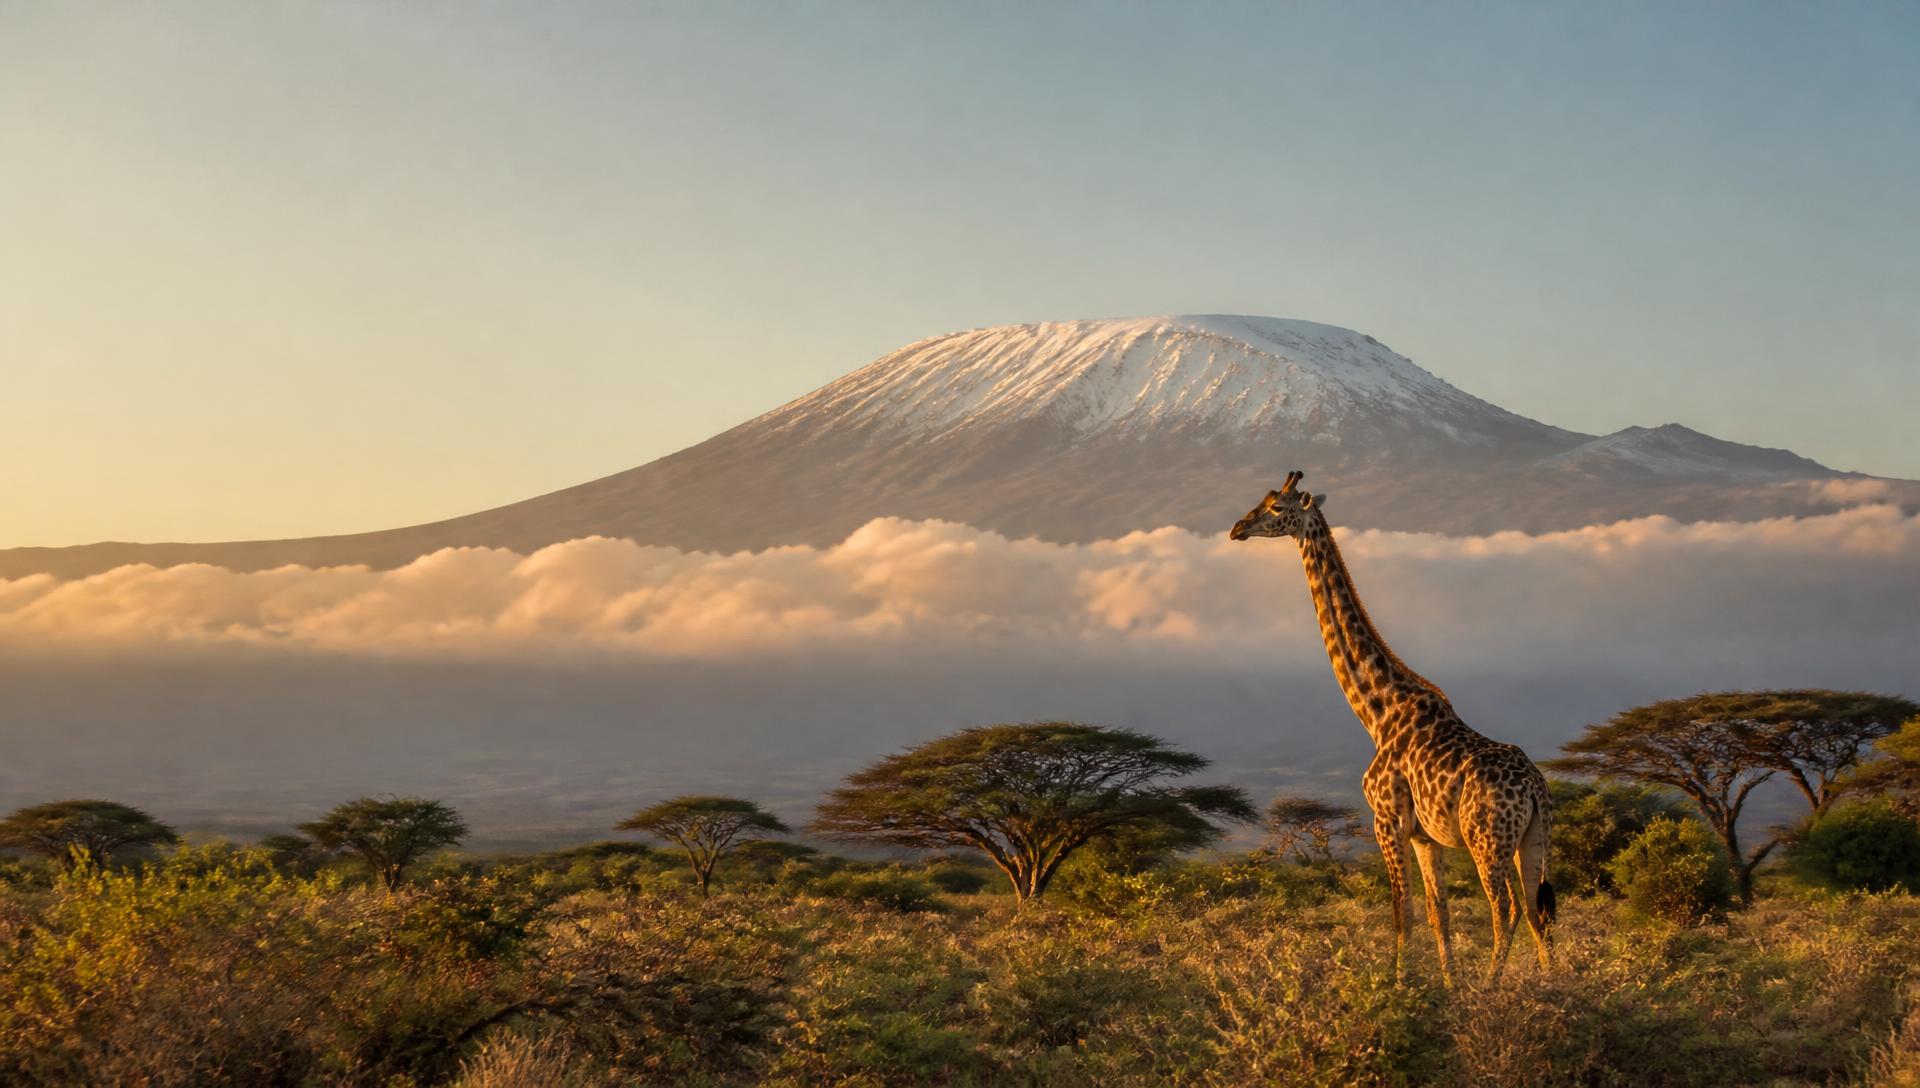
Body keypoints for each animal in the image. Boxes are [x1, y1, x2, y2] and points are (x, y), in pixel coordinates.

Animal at [1229, 470, 1554, 984]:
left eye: (1278, 508)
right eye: (1262, 501)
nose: (1238, 527)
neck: (1378, 711)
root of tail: (1536, 788)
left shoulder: (1387, 819)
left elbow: (1403, 913)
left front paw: (1400, 986)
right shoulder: (1425, 835)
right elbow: (1439, 913)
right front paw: (1447, 986)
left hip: (1487, 839)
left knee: (1506, 910)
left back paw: (1491, 986)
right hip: (1533, 837)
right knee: (1539, 911)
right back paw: (1554, 983)